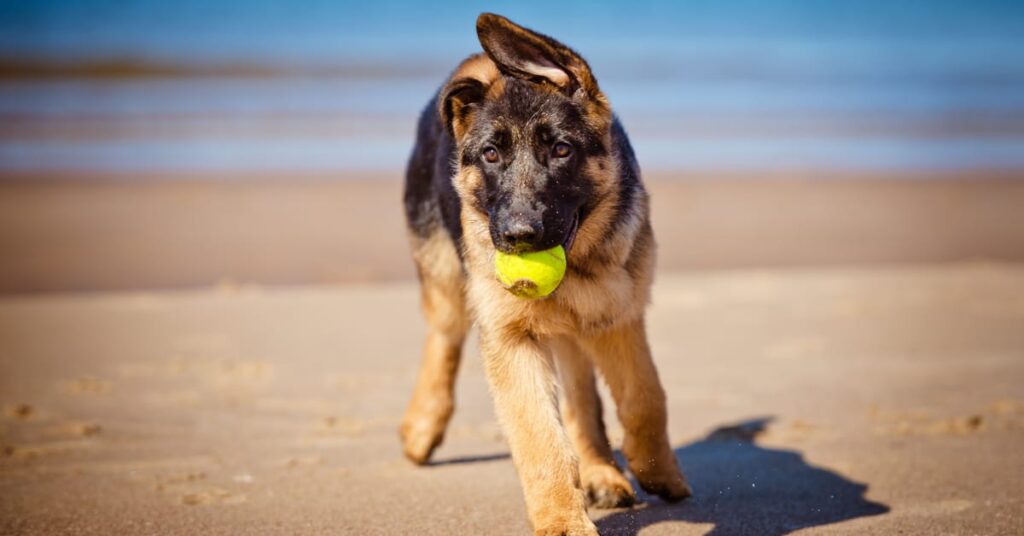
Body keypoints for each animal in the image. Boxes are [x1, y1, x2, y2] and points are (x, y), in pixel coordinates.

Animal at [399, 13, 688, 536]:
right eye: (491, 155)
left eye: (561, 150)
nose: (518, 236)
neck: (576, 267)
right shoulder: (511, 338)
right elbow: (539, 441)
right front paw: (562, 520)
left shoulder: (619, 315)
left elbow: (644, 397)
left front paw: (658, 471)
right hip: (445, 276)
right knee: (444, 336)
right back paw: (423, 426)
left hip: (577, 326)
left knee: (581, 396)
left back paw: (602, 471)